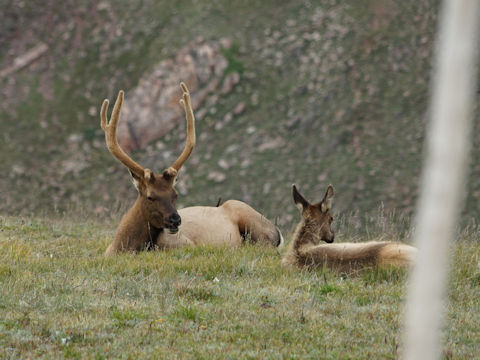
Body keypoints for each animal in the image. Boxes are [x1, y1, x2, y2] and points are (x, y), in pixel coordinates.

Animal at [101, 83, 282, 256]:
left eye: (175, 194)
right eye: (150, 196)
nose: (175, 220)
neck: (120, 246)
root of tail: (278, 232)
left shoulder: (183, 244)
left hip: (250, 218)